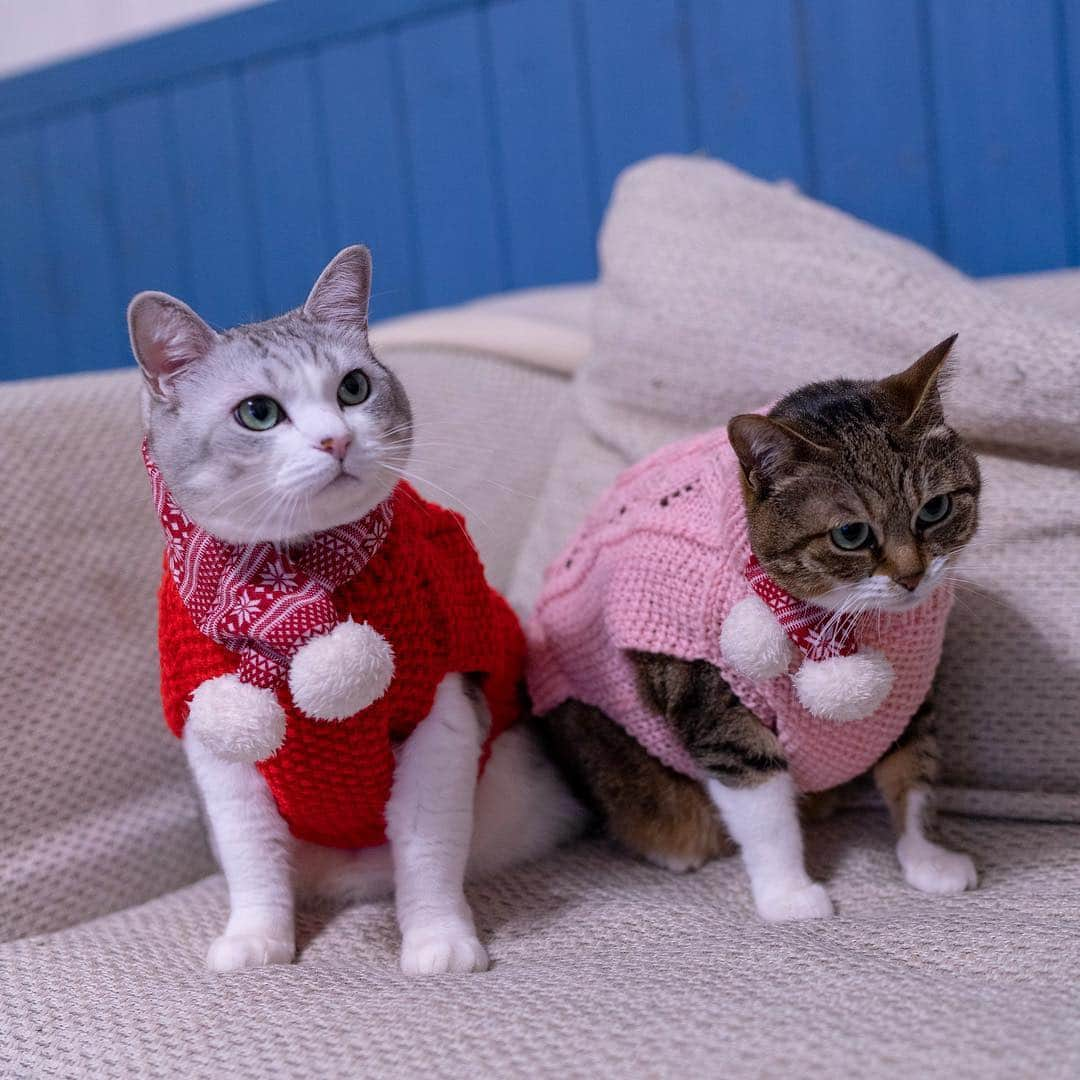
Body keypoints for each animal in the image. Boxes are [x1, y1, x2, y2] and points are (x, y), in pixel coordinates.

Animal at [130, 248, 587, 976]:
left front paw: (439, 942)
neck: (289, 584)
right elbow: (252, 858)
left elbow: (428, 850)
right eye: (257, 413)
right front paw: (257, 941)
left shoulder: (440, 717)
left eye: (352, 389)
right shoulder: (212, 735)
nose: (336, 441)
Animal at [537, 336, 980, 920]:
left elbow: (916, 772)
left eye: (935, 509)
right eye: (851, 534)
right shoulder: (720, 710)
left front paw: (929, 859)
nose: (911, 577)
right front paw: (789, 895)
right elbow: (765, 812)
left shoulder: (910, 697)